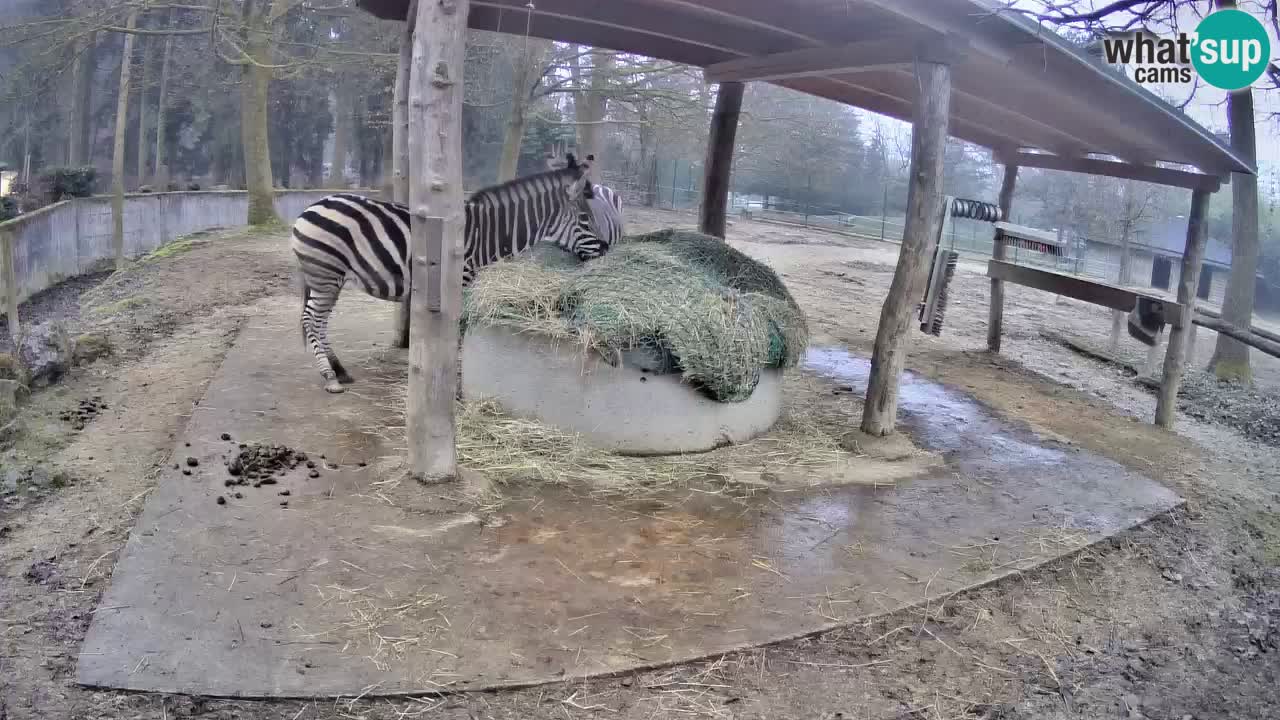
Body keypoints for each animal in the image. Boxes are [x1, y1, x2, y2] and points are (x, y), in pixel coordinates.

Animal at [290, 153, 607, 393]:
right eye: (585, 219)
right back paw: (330, 378)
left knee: (319, 322)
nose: (605, 249)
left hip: (330, 277)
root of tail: (310, 206)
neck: (486, 234)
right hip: (326, 274)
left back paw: (339, 370)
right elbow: (459, 332)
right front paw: (455, 382)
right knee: (311, 320)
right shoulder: (460, 281)